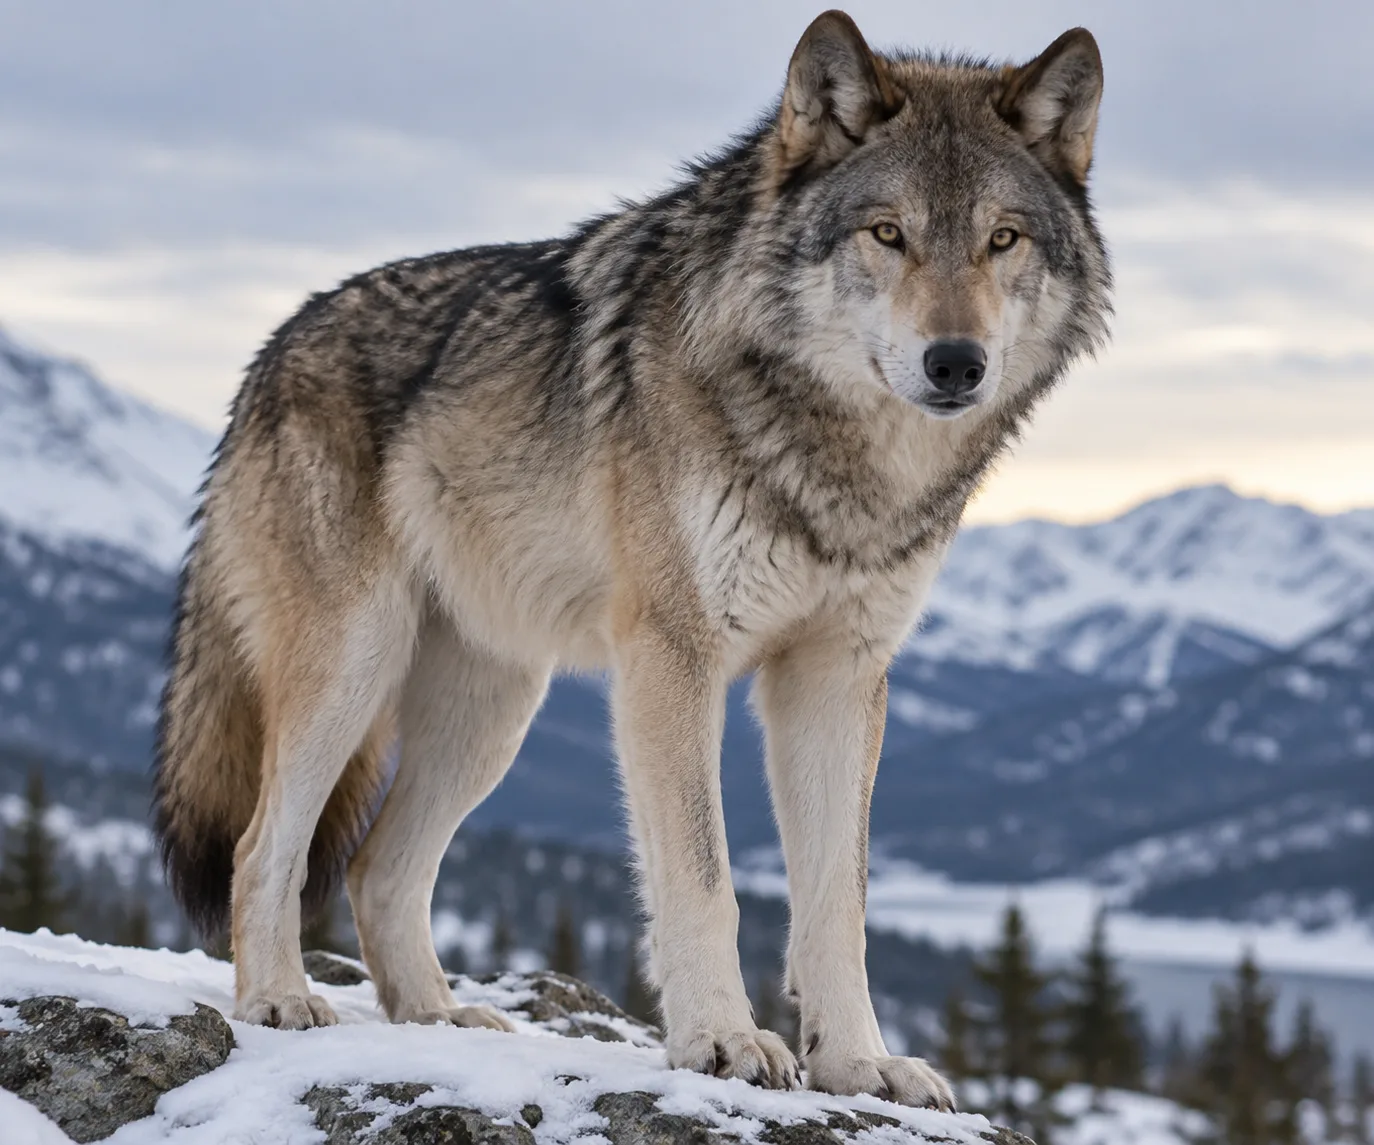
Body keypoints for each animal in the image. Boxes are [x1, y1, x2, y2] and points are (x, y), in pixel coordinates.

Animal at [154, 10, 1108, 1106]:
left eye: (1003, 239)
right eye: (888, 233)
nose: (957, 363)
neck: (837, 461)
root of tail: (266, 354)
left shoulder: (837, 675)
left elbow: (838, 901)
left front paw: (859, 1062)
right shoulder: (674, 656)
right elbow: (704, 878)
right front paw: (723, 1041)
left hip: (492, 711)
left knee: (376, 867)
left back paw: (437, 1019)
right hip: (353, 669)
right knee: (263, 844)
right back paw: (279, 997)